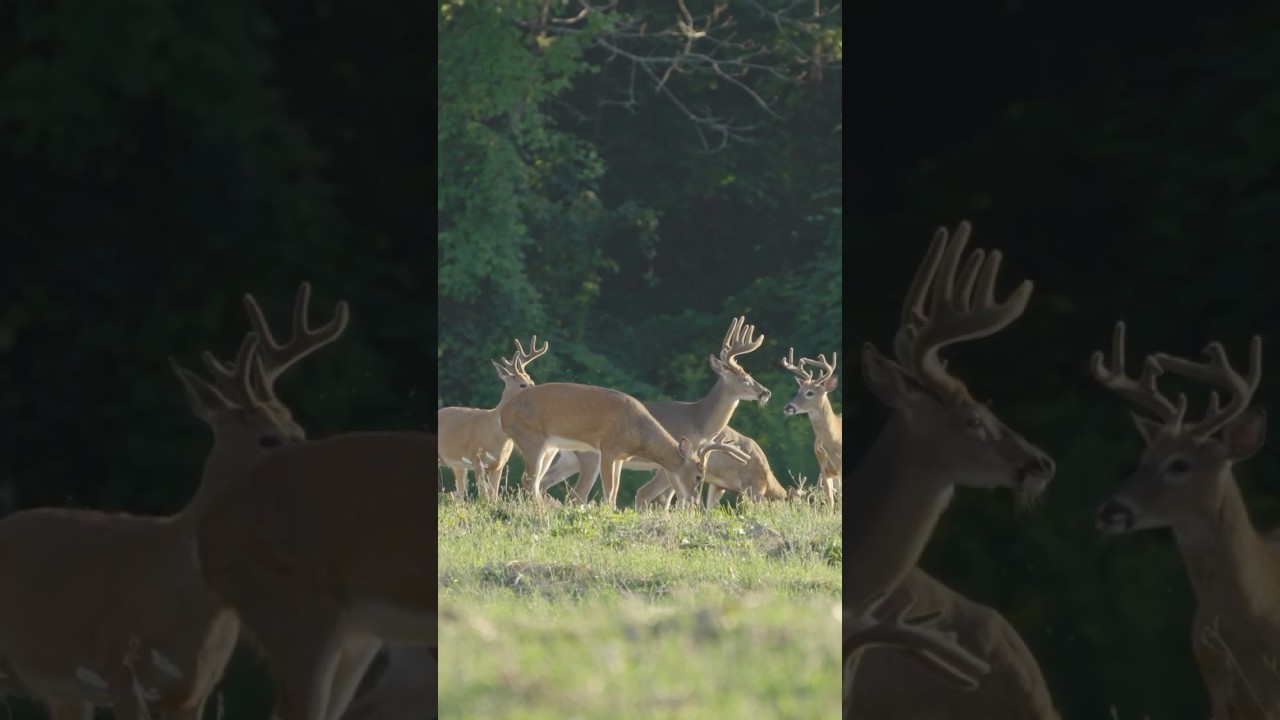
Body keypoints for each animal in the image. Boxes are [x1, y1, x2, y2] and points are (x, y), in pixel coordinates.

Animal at [437, 336, 548, 500]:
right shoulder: (476, 458)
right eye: (522, 385)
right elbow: (483, 494)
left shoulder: (498, 465)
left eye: (532, 382)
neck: (494, 432)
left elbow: (493, 496)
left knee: (458, 493)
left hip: (457, 465)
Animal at [497, 382, 752, 507]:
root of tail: (503, 413)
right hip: (532, 439)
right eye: (699, 476)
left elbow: (616, 489)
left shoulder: (620, 457)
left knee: (535, 480)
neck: (637, 430)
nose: (694, 499)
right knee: (530, 480)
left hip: (550, 447)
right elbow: (610, 491)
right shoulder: (608, 448)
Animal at [531, 316, 771, 507]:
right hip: (589, 457)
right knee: (574, 493)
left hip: (568, 457)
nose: (765, 392)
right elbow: (666, 497)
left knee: (544, 481)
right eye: (745, 378)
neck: (699, 420)